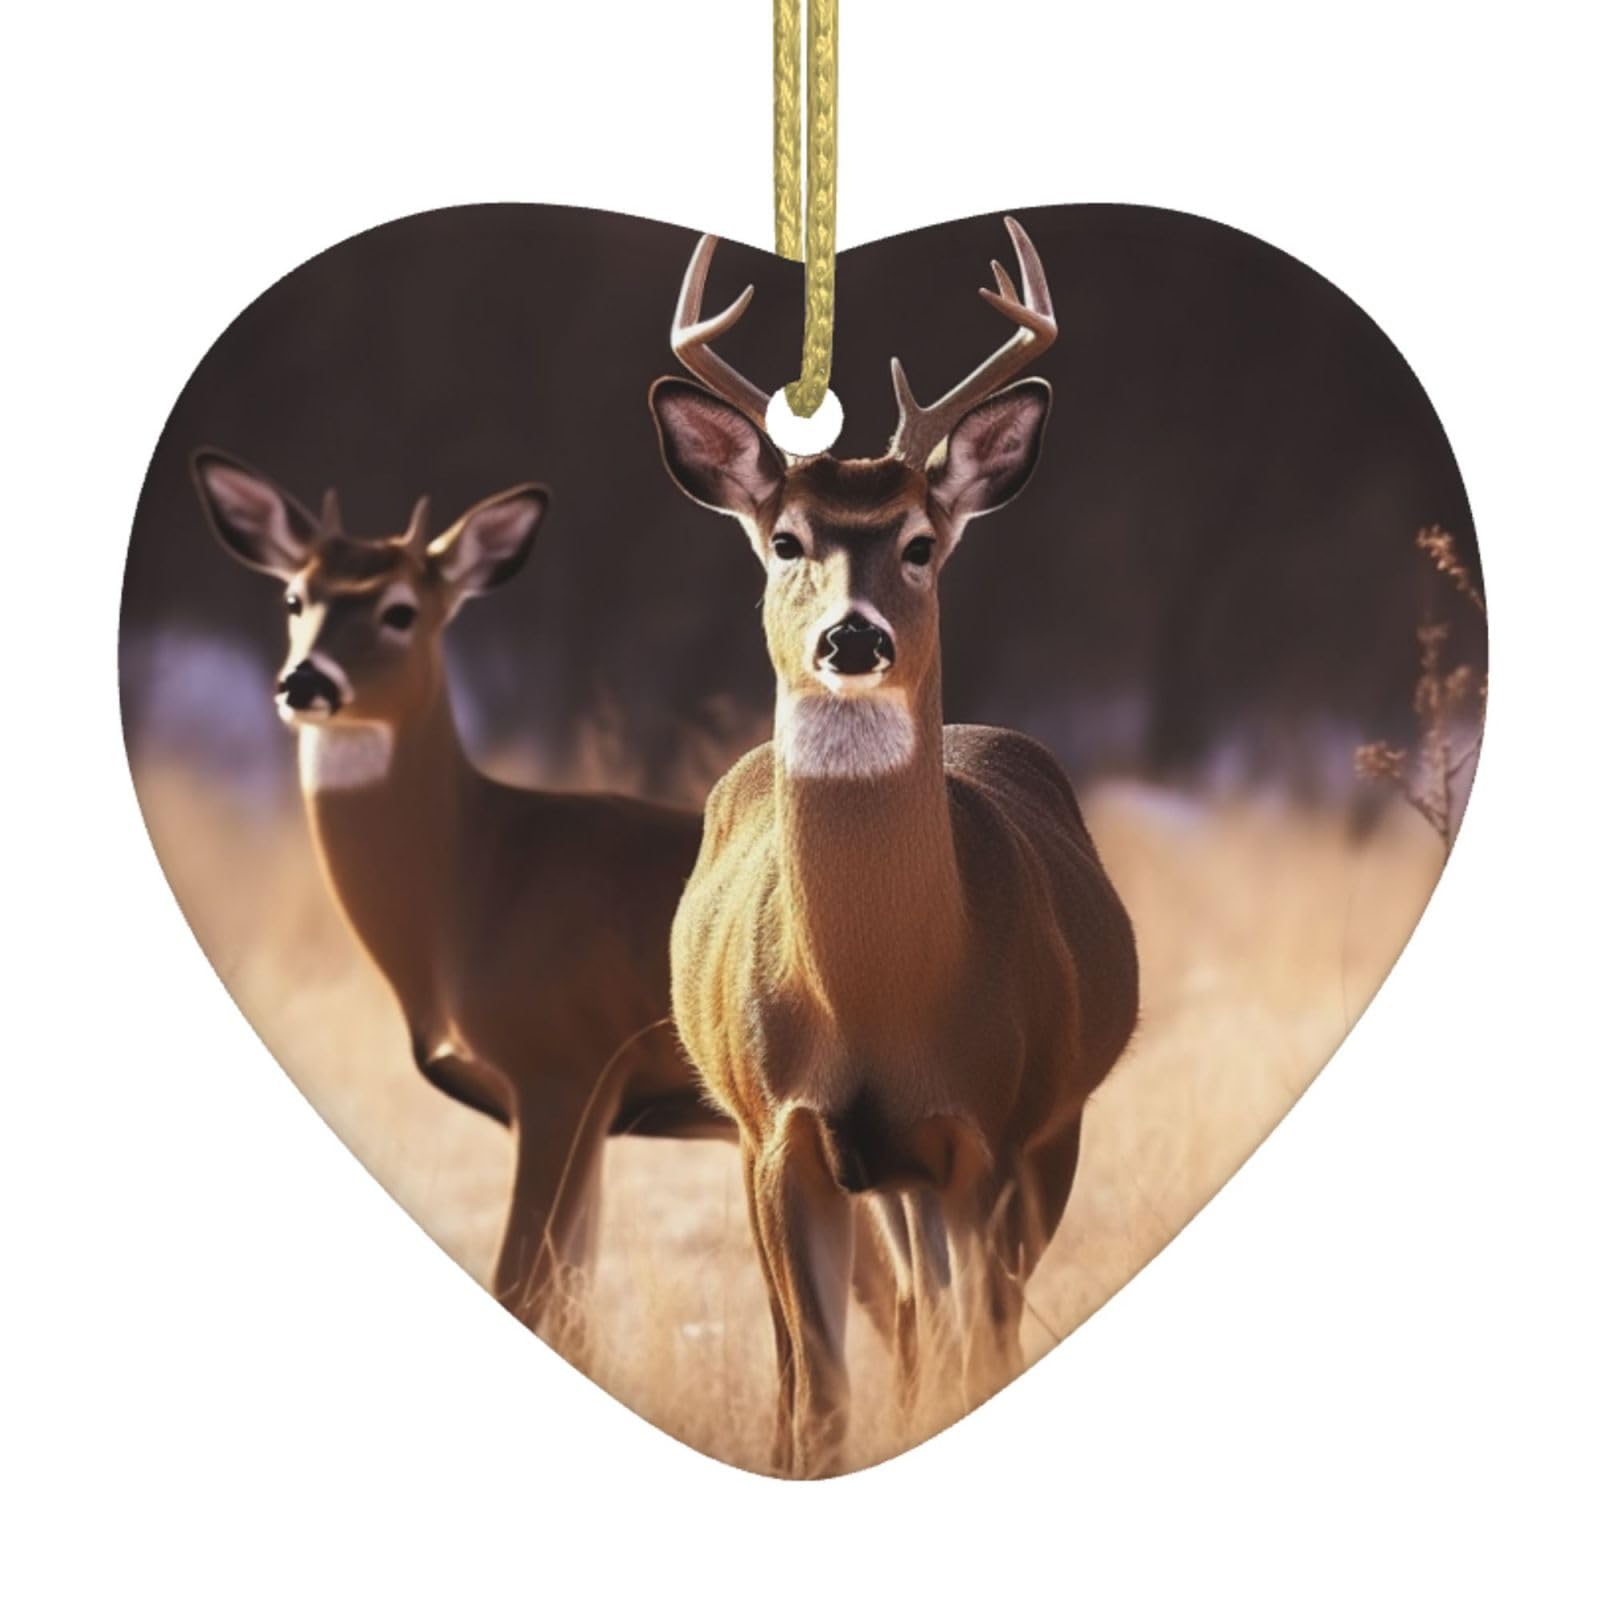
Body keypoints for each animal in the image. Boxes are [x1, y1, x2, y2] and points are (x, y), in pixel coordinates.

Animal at [191, 454, 728, 1345]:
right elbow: (570, 1306)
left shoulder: (562, 1066)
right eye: (297, 598)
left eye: (400, 610)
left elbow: (526, 1292)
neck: (475, 884)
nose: (306, 681)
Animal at [648, 218, 1139, 1476]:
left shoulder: (994, 1135)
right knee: (861, 1345)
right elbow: (816, 1402)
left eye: (920, 543)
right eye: (784, 539)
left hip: (1023, 1148)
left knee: (948, 1329)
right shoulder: (783, 1134)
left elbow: (976, 1359)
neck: (880, 994)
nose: (852, 636)